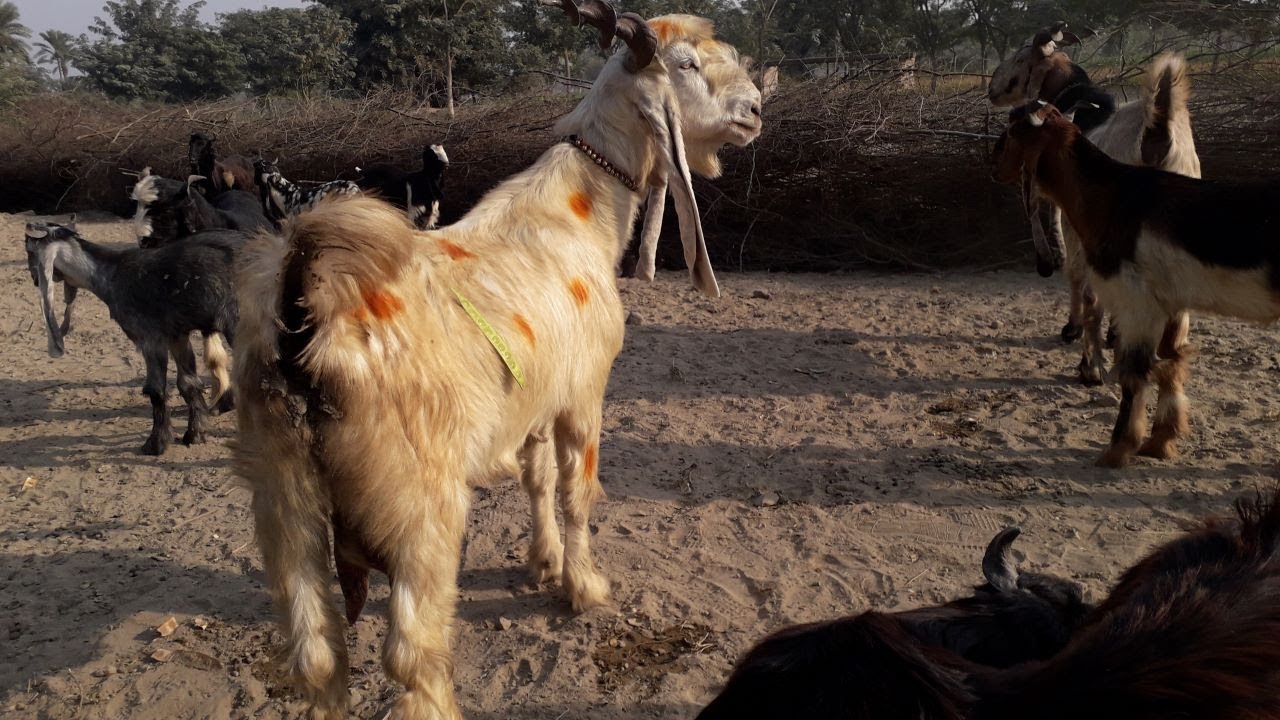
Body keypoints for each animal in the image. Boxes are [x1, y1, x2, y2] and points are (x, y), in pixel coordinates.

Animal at [23, 221, 241, 455]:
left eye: (29, 249)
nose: (34, 279)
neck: (111, 274)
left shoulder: (149, 338)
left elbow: (156, 390)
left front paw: (155, 444)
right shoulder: (177, 335)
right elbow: (188, 383)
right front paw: (195, 434)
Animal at [231, 4, 761, 717]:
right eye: (686, 64)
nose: (754, 109)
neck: (579, 213)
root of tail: (303, 310)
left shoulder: (534, 398)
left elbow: (536, 481)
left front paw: (541, 562)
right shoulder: (583, 394)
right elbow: (576, 493)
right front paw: (583, 586)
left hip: (281, 490)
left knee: (317, 655)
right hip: (419, 502)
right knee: (411, 654)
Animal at [992, 100, 1277, 468]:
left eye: (1012, 131)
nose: (994, 165)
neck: (1112, 196)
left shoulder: (1136, 302)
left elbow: (1134, 373)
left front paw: (1117, 449)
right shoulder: (1173, 305)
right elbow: (1171, 363)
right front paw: (1160, 442)